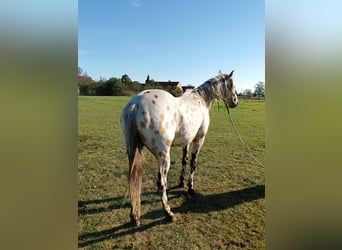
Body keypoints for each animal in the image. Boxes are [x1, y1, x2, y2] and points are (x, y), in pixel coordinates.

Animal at [120, 69, 238, 226]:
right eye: (232, 84)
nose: (235, 102)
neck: (200, 100)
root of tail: (136, 104)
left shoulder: (186, 141)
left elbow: (184, 160)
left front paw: (181, 183)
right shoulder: (198, 140)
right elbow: (193, 163)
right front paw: (190, 188)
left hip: (132, 152)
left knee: (133, 180)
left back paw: (134, 217)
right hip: (164, 156)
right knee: (161, 183)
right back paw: (168, 213)